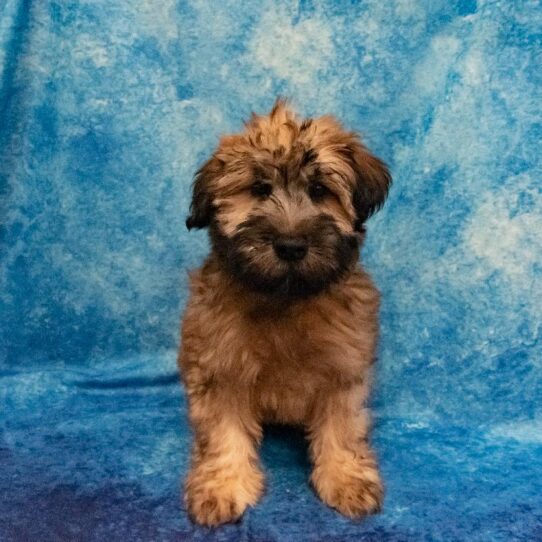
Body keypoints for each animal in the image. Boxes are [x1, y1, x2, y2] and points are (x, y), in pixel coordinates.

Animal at [181, 99, 394, 528]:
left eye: (319, 191)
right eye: (259, 189)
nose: (291, 245)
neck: (285, 299)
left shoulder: (342, 367)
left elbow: (343, 428)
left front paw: (346, 479)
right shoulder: (218, 366)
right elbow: (222, 432)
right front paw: (223, 486)